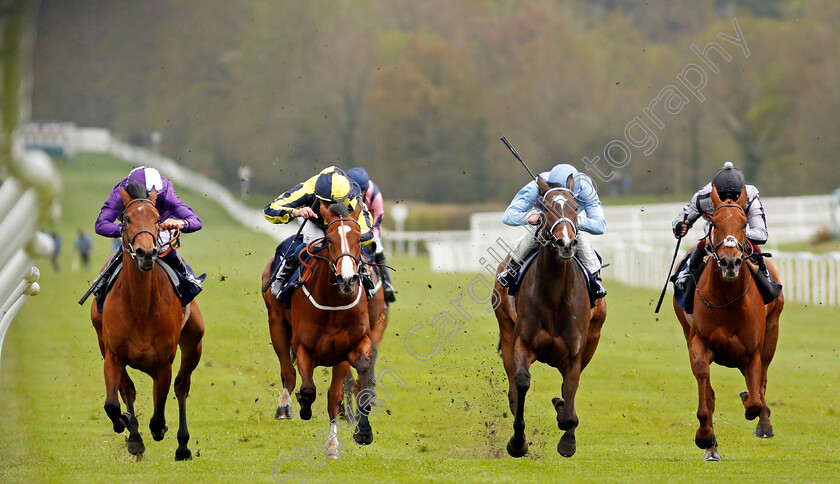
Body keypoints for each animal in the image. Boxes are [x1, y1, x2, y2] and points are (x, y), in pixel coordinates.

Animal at [90, 180, 203, 460]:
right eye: (127, 218)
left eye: (157, 219)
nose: (146, 253)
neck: (140, 308)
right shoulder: (113, 354)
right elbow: (113, 402)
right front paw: (126, 426)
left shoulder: (164, 362)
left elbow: (159, 411)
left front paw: (160, 428)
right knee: (127, 390)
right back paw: (134, 435)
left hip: (194, 343)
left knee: (182, 386)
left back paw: (183, 445)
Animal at [260, 199, 376, 458]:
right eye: (330, 240)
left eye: (358, 239)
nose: (347, 279)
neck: (333, 304)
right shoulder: (303, 347)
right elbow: (308, 388)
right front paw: (303, 406)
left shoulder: (350, 348)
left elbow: (340, 392)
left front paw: (357, 434)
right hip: (276, 324)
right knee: (288, 371)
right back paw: (285, 406)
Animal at [492, 176, 604, 460]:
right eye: (544, 208)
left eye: (575, 207)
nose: (566, 242)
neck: (554, 297)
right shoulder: (522, 342)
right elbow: (521, 383)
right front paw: (517, 443)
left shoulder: (575, 352)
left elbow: (570, 392)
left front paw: (568, 439)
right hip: (506, 330)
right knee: (513, 388)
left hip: (593, 338)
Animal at [672, 184, 784, 462]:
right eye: (715, 223)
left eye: (744, 223)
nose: (730, 261)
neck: (729, 303)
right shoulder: (698, 343)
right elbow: (706, 392)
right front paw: (705, 438)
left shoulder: (753, 351)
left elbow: (755, 399)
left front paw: (754, 410)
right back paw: (712, 448)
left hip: (772, 333)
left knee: (762, 382)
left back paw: (764, 423)